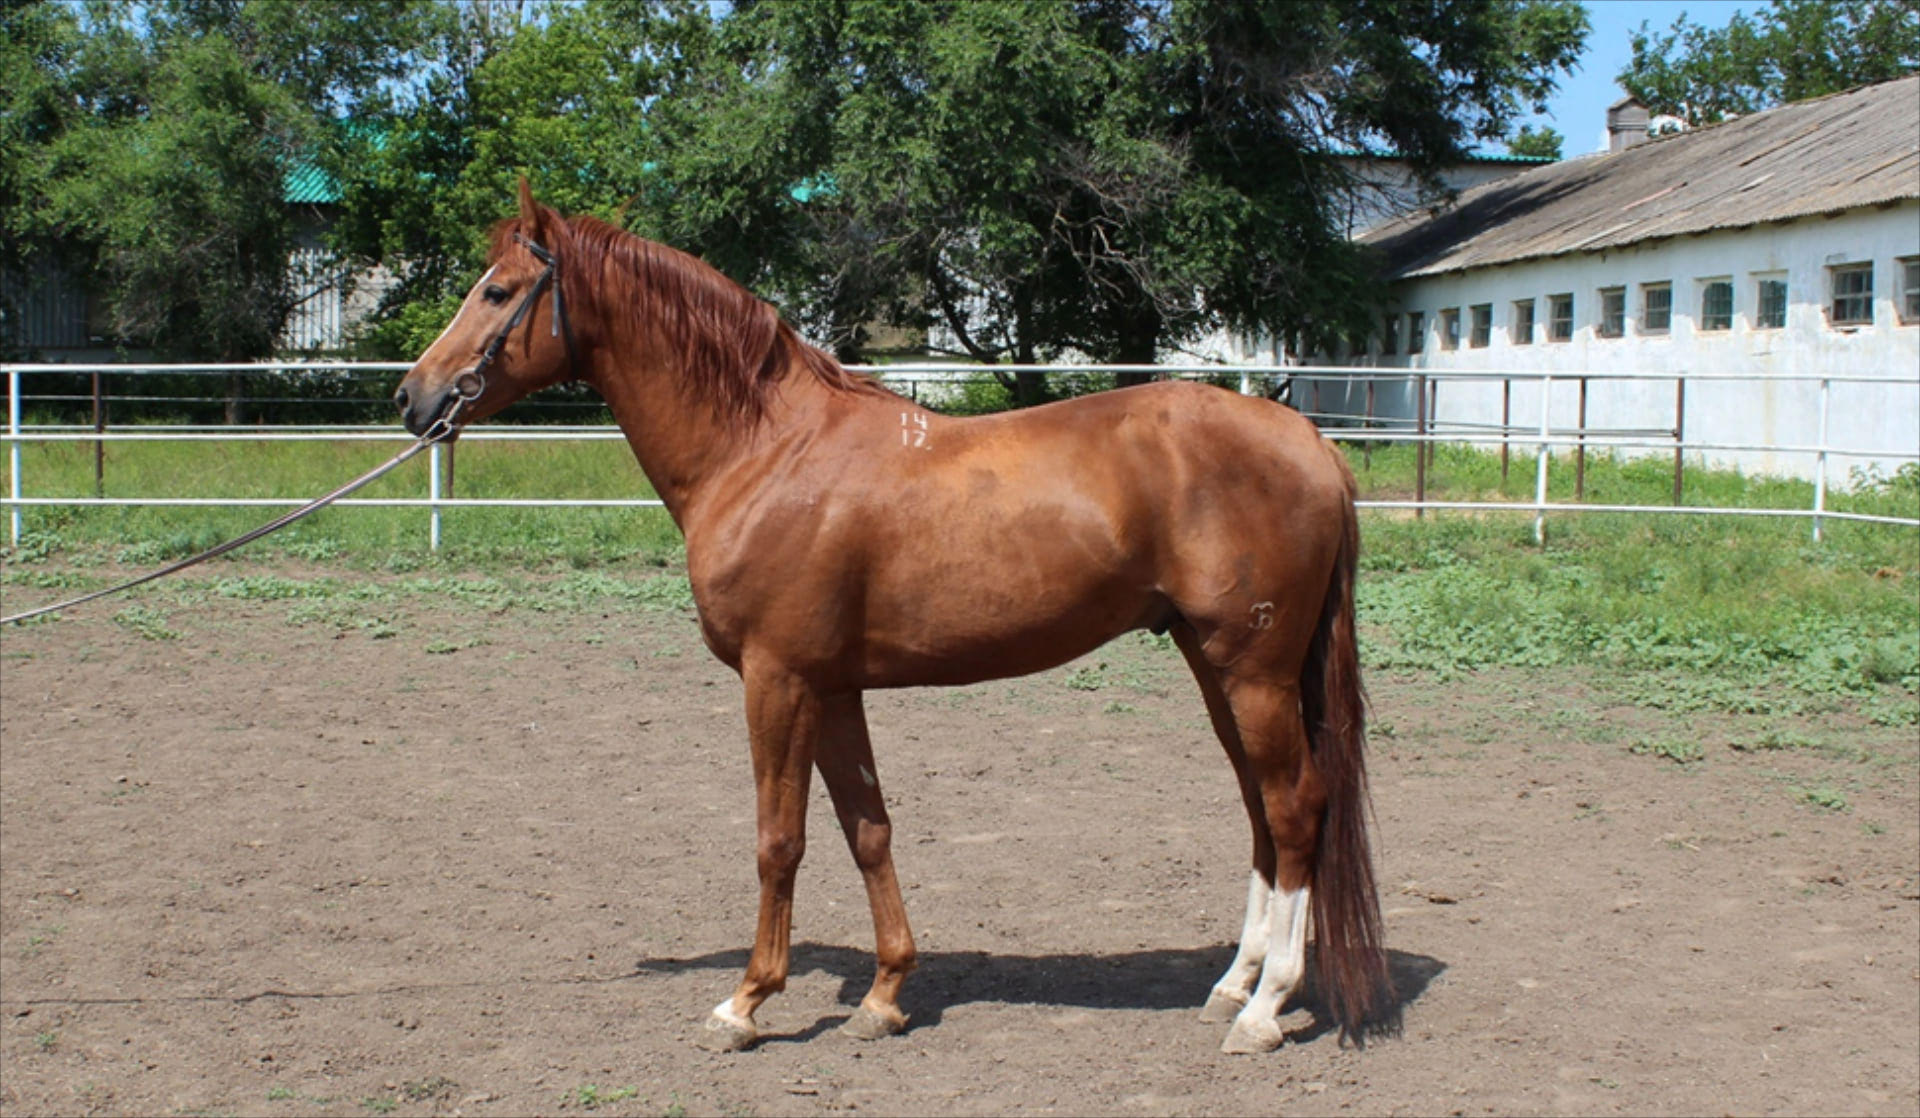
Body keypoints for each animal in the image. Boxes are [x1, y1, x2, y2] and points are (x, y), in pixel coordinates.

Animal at [393, 181, 1397, 1052]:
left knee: (1297, 809)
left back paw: (1265, 1010)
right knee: (1261, 809)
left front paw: (745, 1003)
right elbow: (866, 830)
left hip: (1253, 672)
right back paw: (1232, 984)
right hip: (1217, 666)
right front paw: (884, 996)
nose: (413, 397)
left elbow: (779, 840)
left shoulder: (777, 681)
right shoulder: (834, 688)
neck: (766, 449)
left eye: (498, 291)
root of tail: (1310, 444)